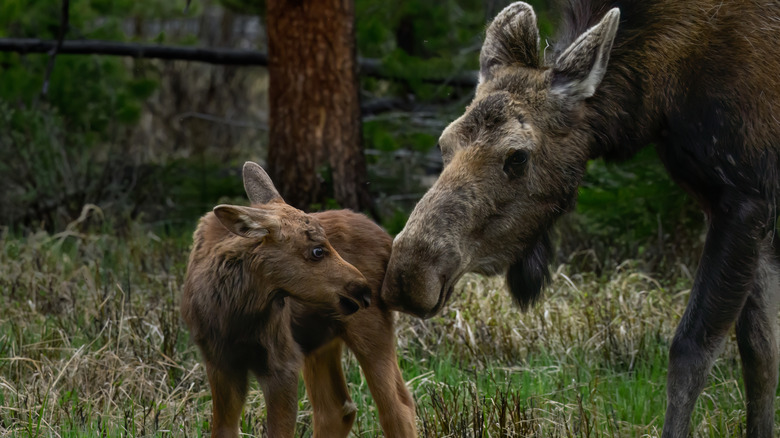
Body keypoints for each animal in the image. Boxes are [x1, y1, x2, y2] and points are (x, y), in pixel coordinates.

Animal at [183, 163, 418, 436]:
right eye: (317, 250)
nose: (363, 290)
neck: (232, 317)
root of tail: (389, 239)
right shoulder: (219, 362)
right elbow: (223, 430)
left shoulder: (282, 362)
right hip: (320, 341)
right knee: (337, 409)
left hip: (370, 328)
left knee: (397, 406)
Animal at [384, 1, 780, 436]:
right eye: (444, 143)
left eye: (517, 157)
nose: (408, 274)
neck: (661, 97)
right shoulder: (751, 209)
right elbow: (761, 352)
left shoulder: (743, 195)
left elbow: (692, 349)